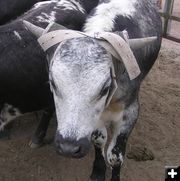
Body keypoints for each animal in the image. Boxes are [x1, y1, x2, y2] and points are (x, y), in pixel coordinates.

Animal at [24, 0, 162, 180]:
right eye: (53, 83)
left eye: (105, 88)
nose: (69, 148)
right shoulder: (97, 118)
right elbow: (98, 140)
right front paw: (98, 171)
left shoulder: (130, 112)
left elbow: (115, 156)